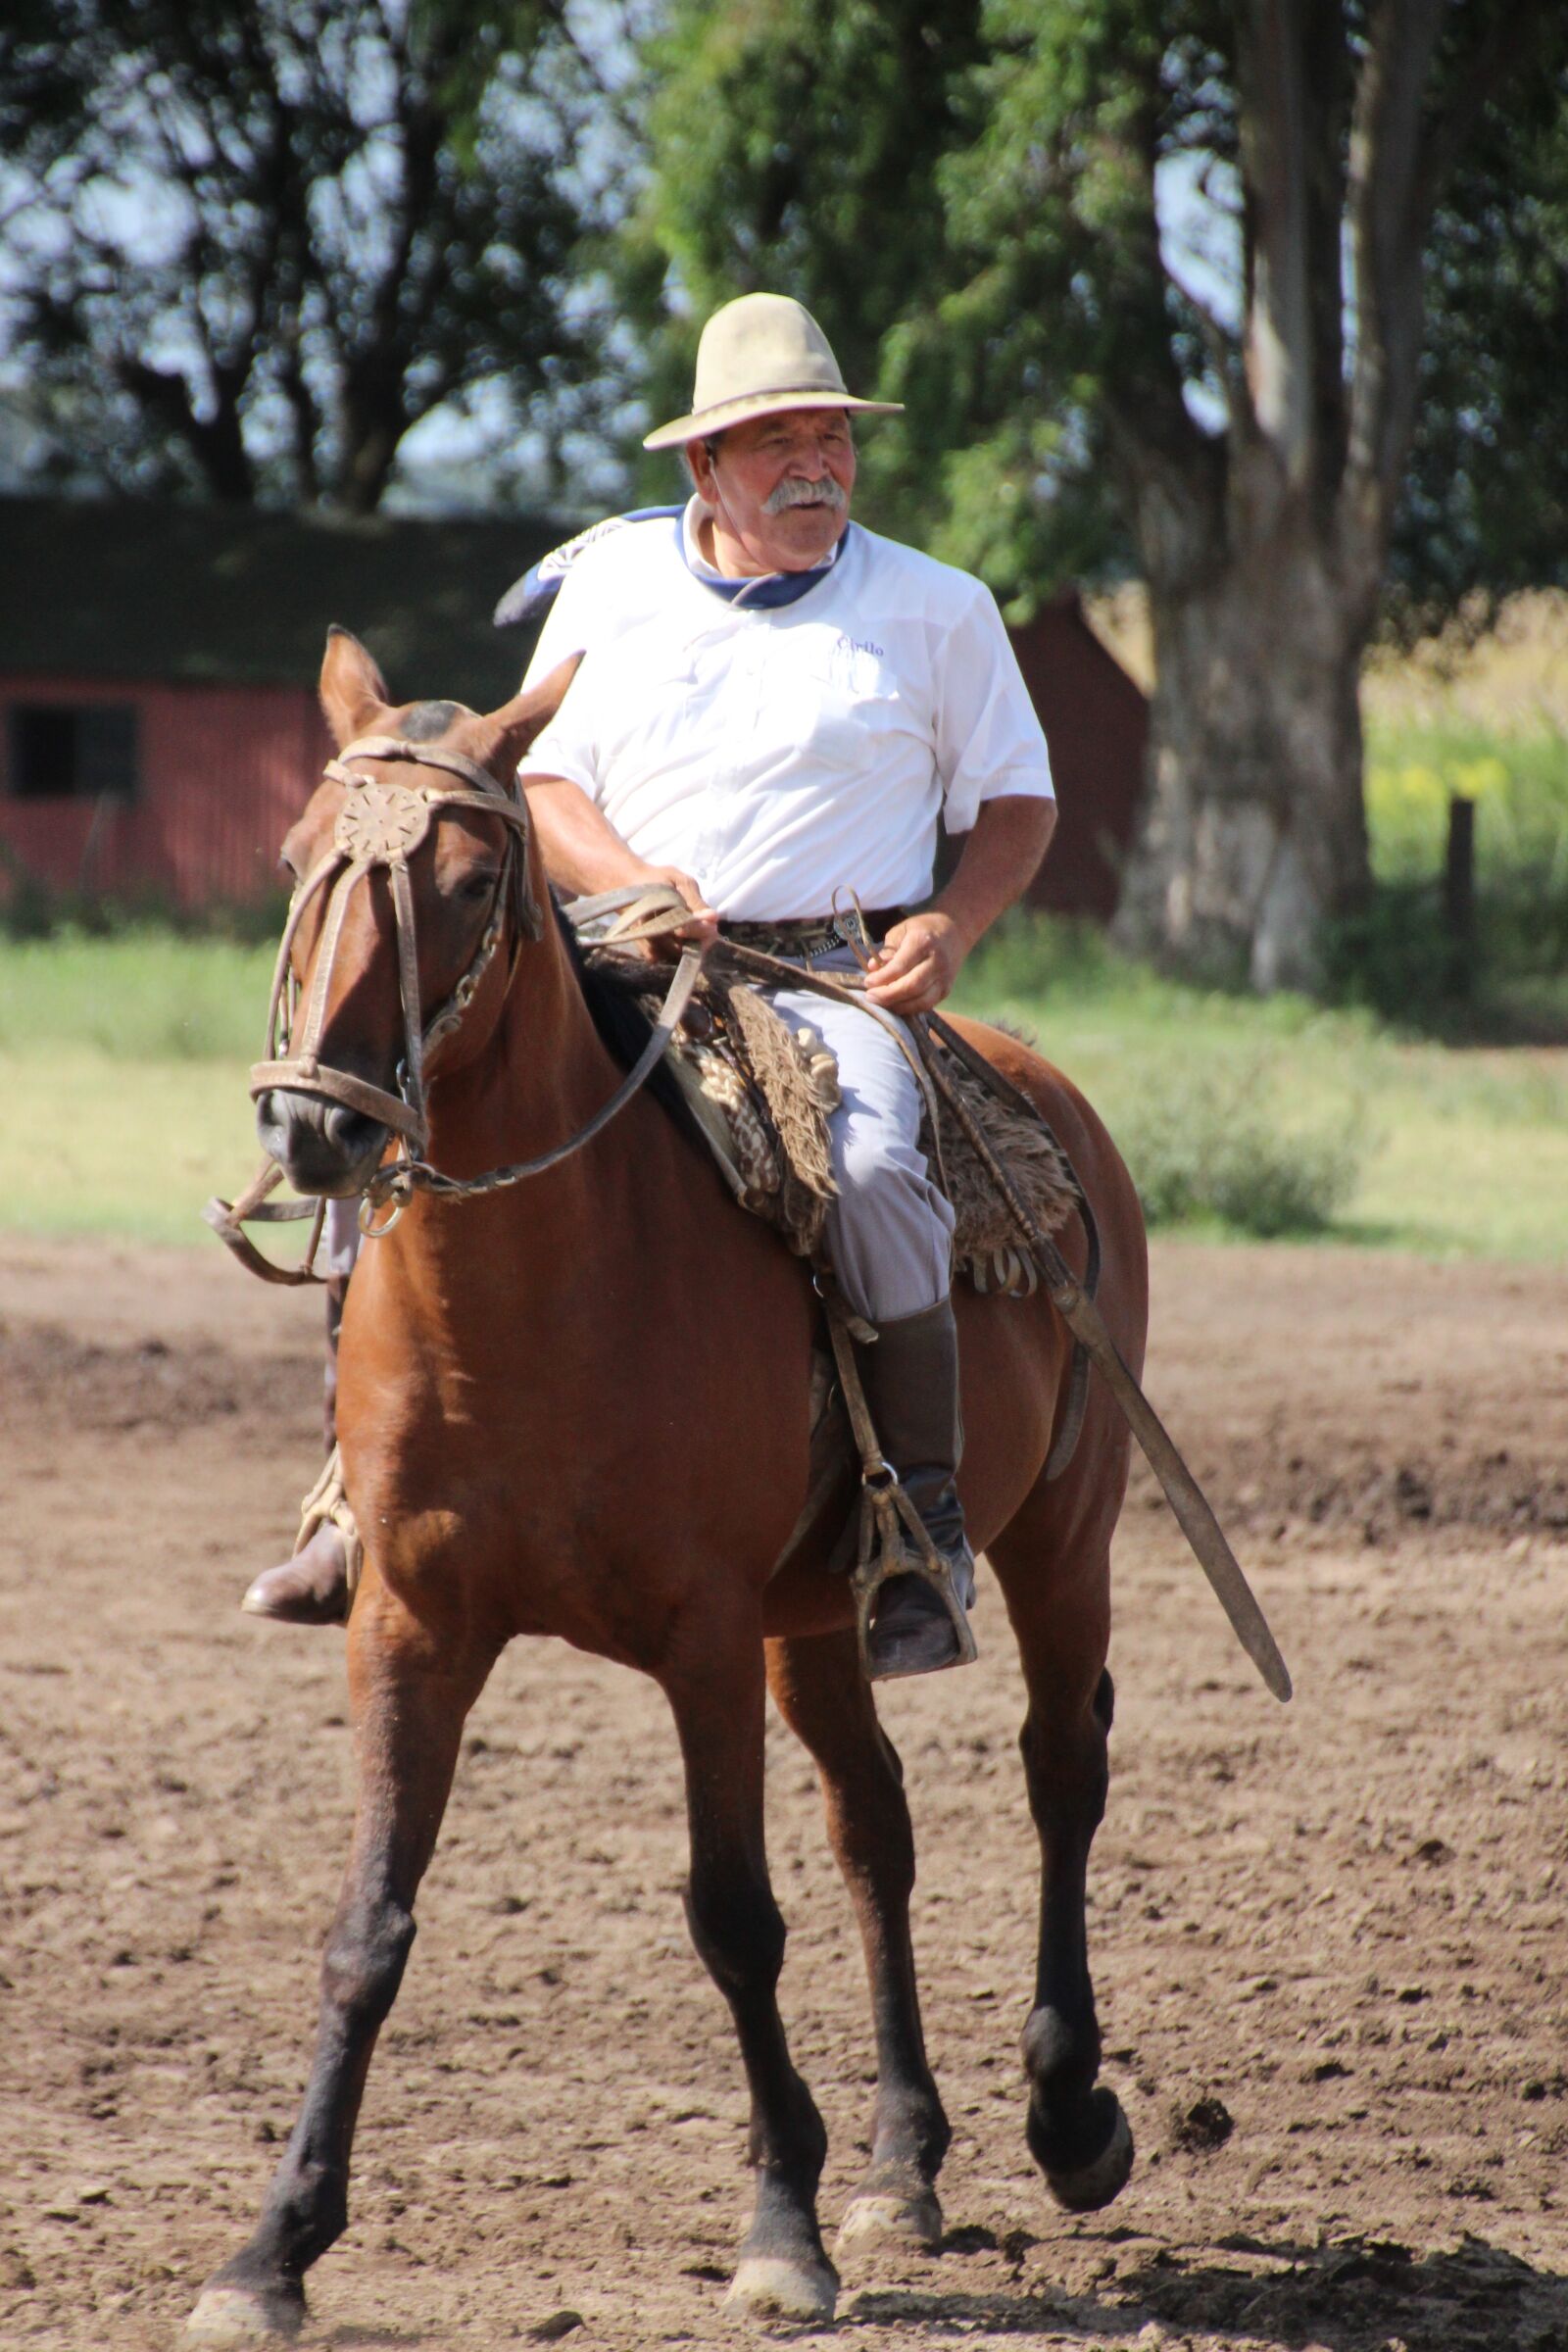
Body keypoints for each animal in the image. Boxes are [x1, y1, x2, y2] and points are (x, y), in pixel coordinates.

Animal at [186, 626, 1149, 2343]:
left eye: (470, 880)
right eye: (300, 859)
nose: (311, 1123)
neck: (538, 1302)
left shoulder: (699, 1637)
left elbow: (733, 1918)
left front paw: (778, 2229)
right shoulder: (410, 1628)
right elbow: (368, 1928)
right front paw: (271, 2249)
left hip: (1062, 1539)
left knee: (1059, 1771)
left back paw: (1068, 2115)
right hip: (820, 1620)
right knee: (876, 1824)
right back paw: (902, 2165)